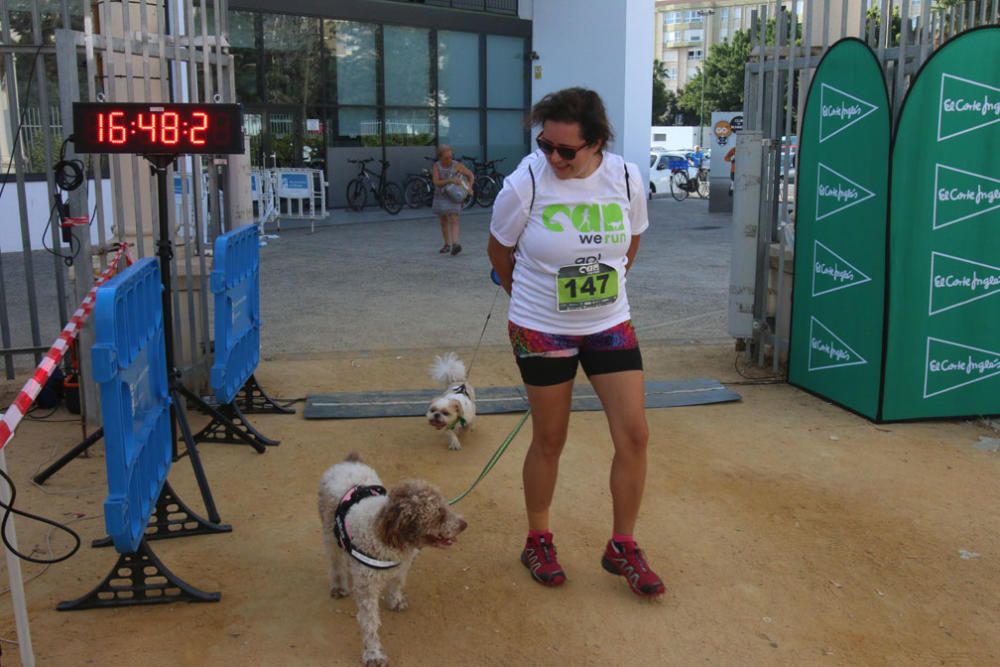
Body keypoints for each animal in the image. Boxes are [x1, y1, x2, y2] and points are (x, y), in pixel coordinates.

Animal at [318, 452, 466, 664]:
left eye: (445, 507)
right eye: (439, 515)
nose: (464, 524)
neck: (382, 533)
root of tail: (348, 462)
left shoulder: (401, 567)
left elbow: (396, 585)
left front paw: (395, 602)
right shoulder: (368, 589)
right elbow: (370, 624)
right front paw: (373, 654)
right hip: (329, 535)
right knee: (336, 563)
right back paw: (339, 586)